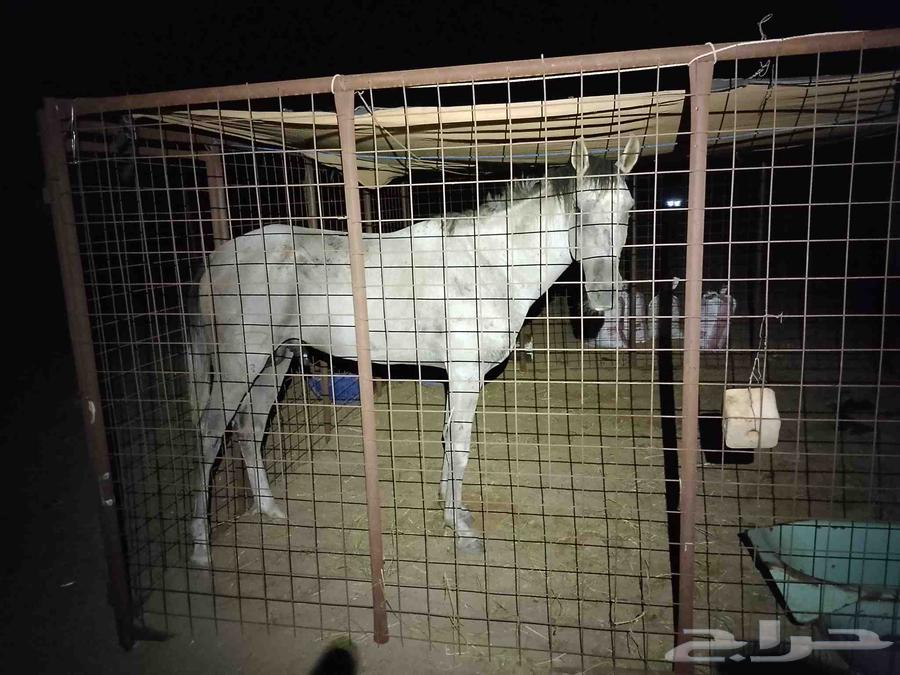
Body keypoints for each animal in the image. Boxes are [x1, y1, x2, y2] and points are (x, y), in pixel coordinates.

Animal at [188, 136, 642, 566]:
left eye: (629, 207)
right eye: (579, 207)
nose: (602, 297)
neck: (488, 265)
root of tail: (216, 260)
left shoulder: (457, 377)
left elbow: (449, 441)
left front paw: (450, 510)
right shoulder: (465, 375)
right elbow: (458, 444)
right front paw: (462, 530)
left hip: (275, 360)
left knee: (250, 429)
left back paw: (270, 509)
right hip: (239, 363)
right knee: (210, 434)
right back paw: (200, 547)